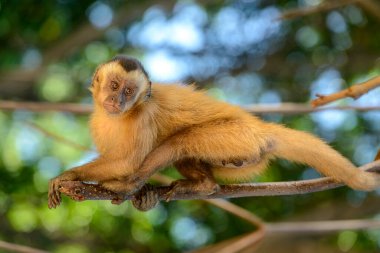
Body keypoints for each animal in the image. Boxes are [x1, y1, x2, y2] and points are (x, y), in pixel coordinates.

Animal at [47, 55, 380, 210]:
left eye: (129, 91)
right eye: (114, 86)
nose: (118, 101)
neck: (123, 114)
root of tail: (260, 127)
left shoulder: (144, 115)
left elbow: (127, 161)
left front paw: (68, 177)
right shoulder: (97, 121)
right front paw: (143, 197)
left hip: (236, 138)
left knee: (179, 142)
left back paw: (130, 185)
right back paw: (202, 185)